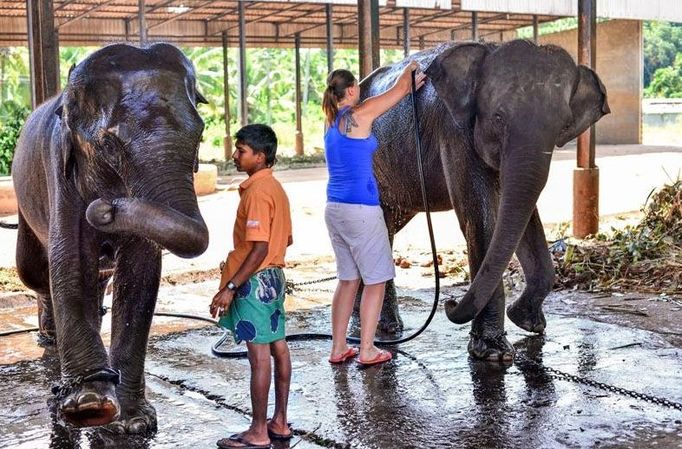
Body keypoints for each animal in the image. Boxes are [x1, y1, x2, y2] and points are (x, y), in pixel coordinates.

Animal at [10, 43, 207, 432]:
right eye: (110, 145)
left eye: (201, 136)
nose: (104, 209)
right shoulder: (60, 171)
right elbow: (70, 263)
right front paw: (88, 407)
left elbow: (140, 275)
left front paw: (133, 421)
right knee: (37, 273)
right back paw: (50, 342)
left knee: (98, 279)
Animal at [358, 39, 608, 360]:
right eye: (498, 117)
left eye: (564, 126)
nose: (449, 302)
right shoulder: (454, 134)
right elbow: (481, 219)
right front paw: (493, 353)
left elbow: (523, 217)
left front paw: (528, 323)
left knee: (386, 227)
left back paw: (387, 327)